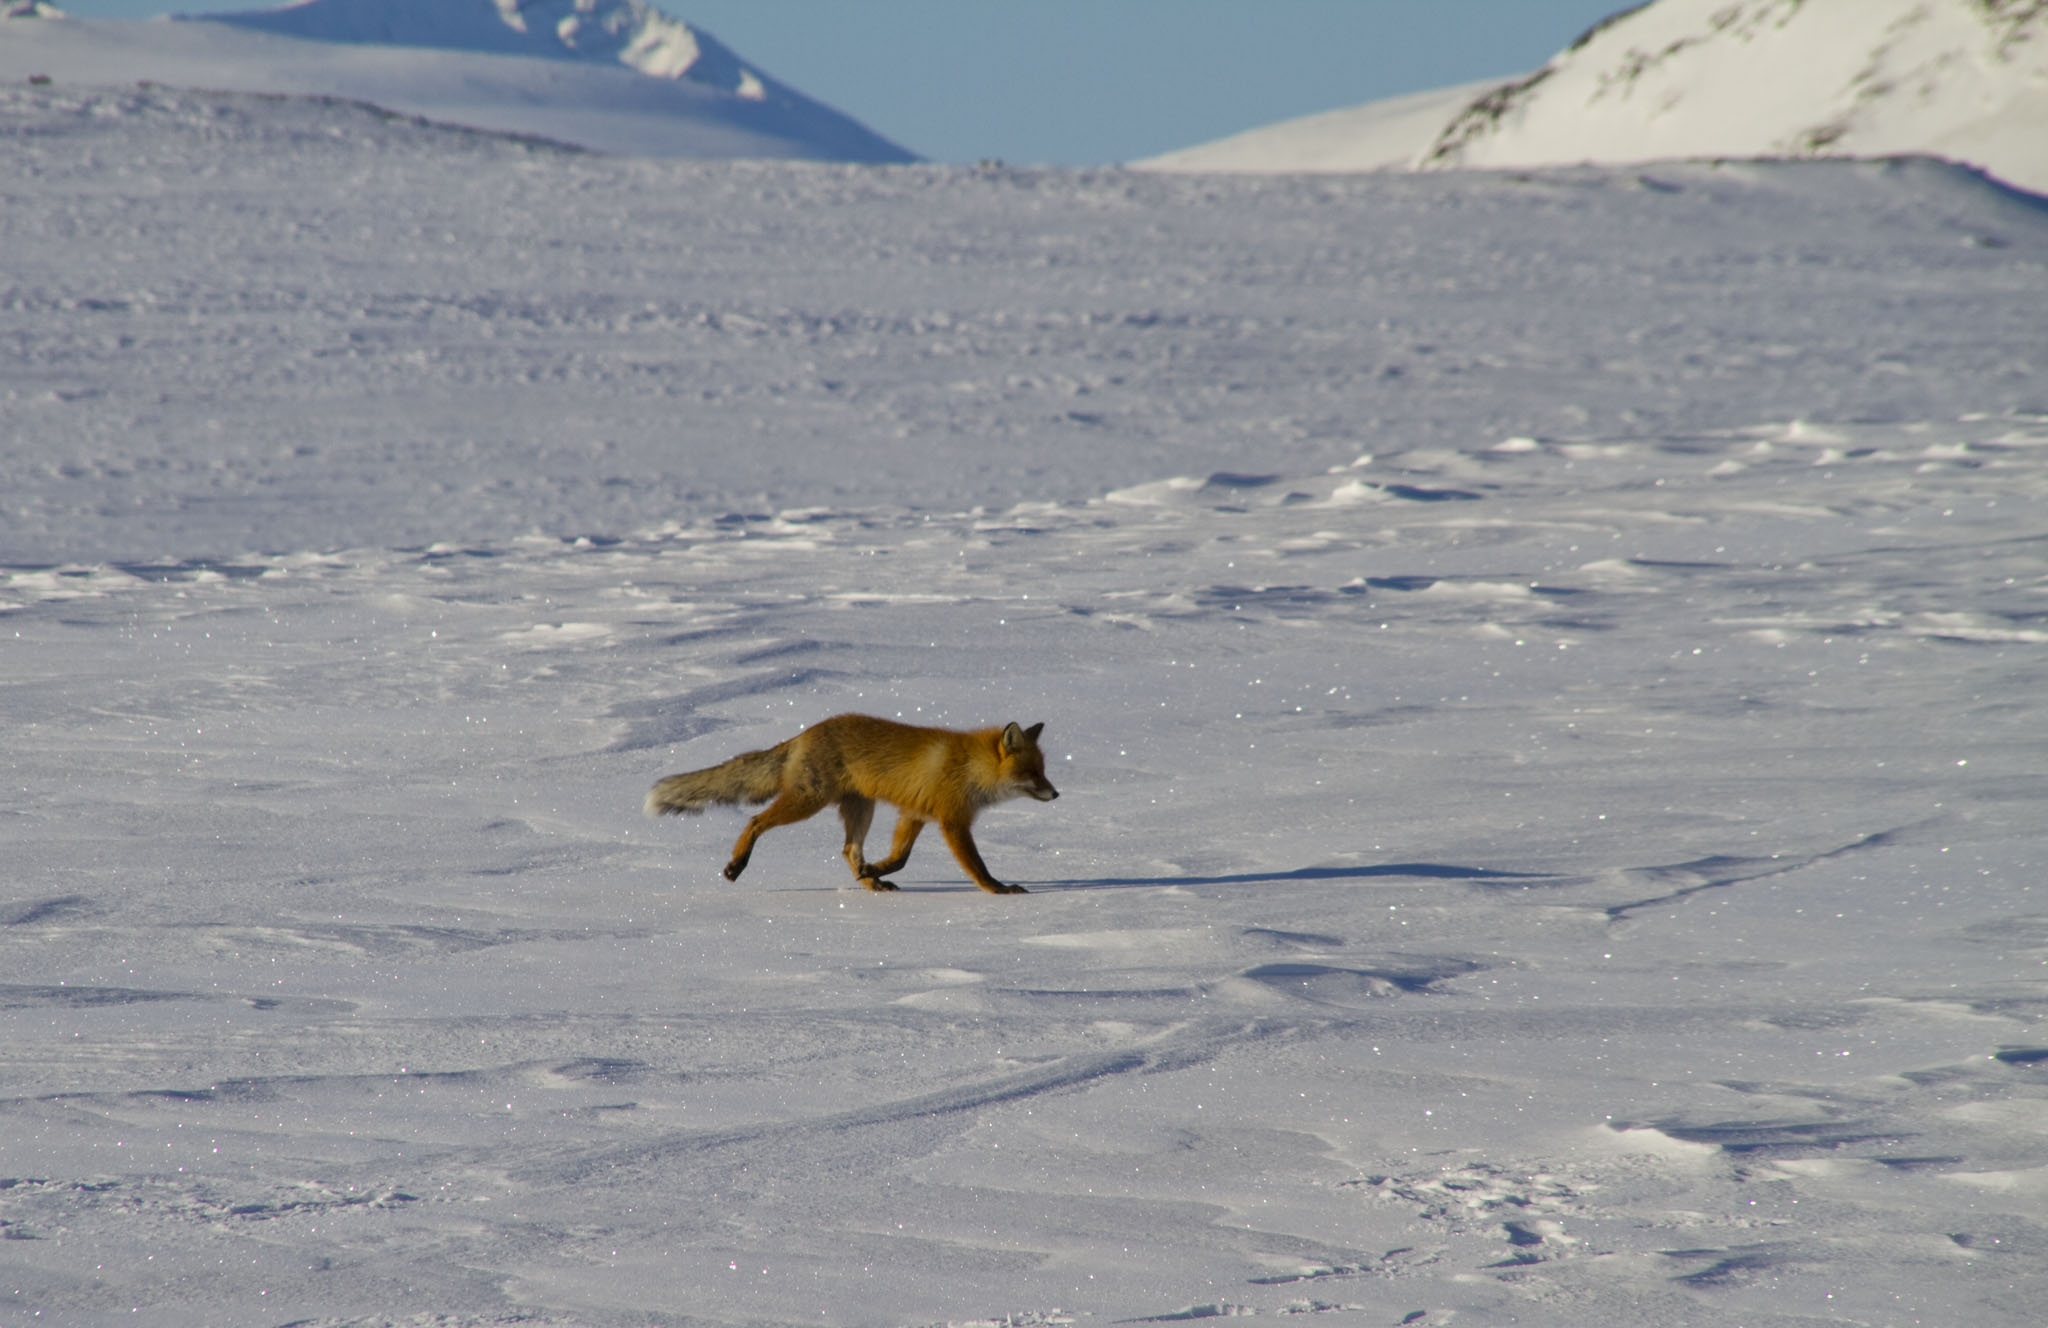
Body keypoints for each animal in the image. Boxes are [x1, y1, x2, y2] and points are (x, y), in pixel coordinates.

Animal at [638, 717, 1056, 893]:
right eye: (1033, 773)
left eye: (1043, 771)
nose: (1056, 795)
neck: (970, 768)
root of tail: (804, 733)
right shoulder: (952, 821)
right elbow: (978, 867)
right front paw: (997, 890)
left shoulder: (915, 813)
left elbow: (900, 858)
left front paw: (876, 870)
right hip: (808, 801)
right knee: (755, 820)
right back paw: (737, 864)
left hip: (860, 808)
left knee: (848, 850)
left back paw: (870, 882)